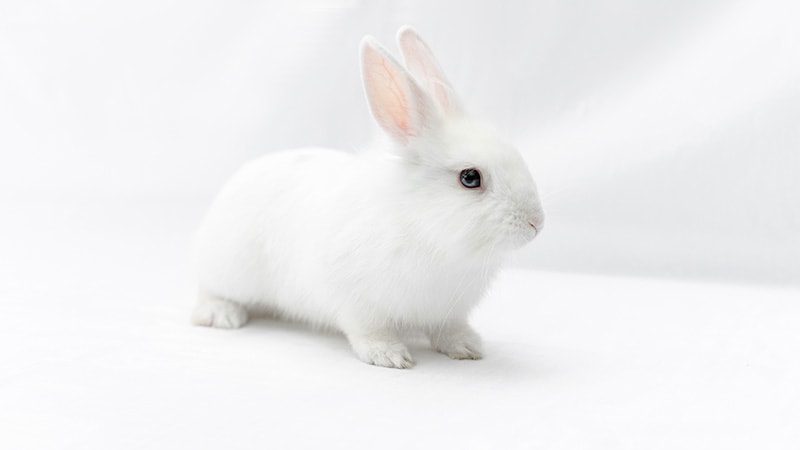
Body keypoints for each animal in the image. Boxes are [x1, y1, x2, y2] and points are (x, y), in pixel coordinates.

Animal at [191, 26, 545, 369]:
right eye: (470, 178)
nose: (537, 224)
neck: (429, 234)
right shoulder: (357, 303)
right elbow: (368, 331)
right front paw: (389, 356)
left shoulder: (448, 310)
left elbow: (449, 330)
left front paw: (468, 347)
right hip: (230, 270)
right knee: (208, 289)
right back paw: (221, 315)